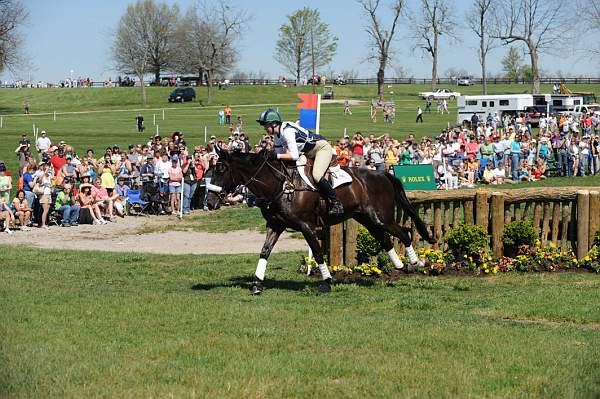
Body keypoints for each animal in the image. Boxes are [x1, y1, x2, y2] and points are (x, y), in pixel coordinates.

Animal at [210, 148, 432, 296]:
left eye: (220, 169)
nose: (209, 202)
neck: (280, 185)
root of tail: (383, 174)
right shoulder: (275, 225)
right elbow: (264, 252)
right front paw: (257, 284)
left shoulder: (306, 226)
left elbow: (317, 253)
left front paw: (326, 282)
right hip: (367, 219)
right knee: (385, 239)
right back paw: (400, 265)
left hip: (381, 217)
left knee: (403, 232)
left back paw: (416, 262)